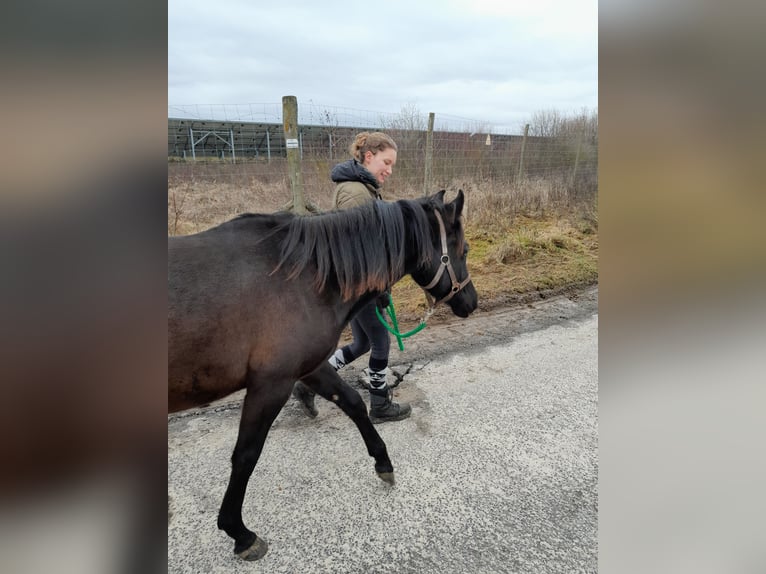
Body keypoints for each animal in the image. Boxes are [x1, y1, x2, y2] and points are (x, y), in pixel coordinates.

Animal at [170, 189, 480, 564]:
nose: (472, 302)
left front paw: (383, 462)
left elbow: (352, 402)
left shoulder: (307, 367)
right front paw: (239, 532)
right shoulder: (270, 385)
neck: (300, 275)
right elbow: (245, 455)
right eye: (464, 249)